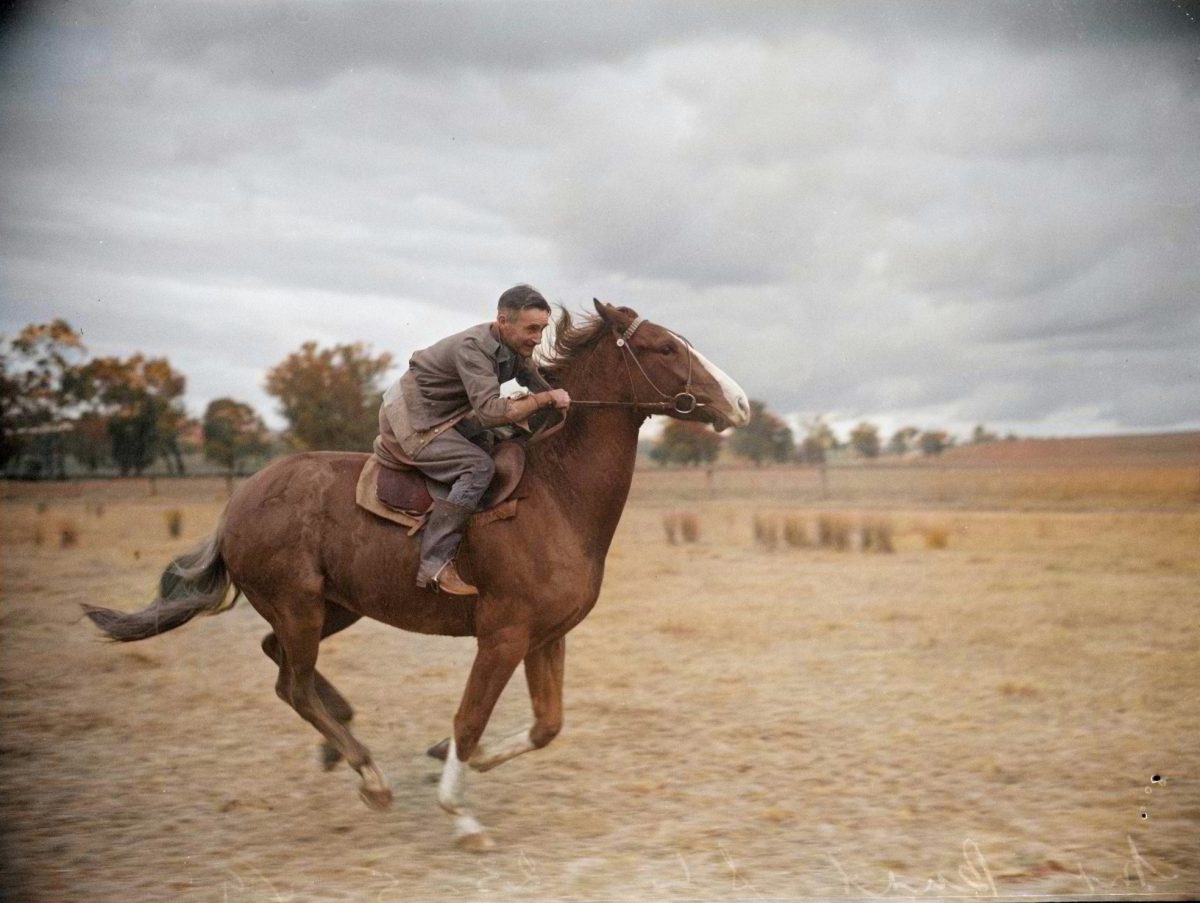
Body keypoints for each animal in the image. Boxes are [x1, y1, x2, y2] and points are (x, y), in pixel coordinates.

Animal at [82, 300, 748, 850]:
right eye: (664, 348)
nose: (739, 402)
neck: (556, 492)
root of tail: (239, 502)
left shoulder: (547, 637)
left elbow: (545, 726)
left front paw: (459, 759)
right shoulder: (502, 636)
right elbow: (470, 719)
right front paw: (461, 813)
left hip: (334, 608)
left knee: (281, 663)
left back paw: (340, 739)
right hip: (301, 607)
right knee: (293, 686)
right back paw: (369, 774)